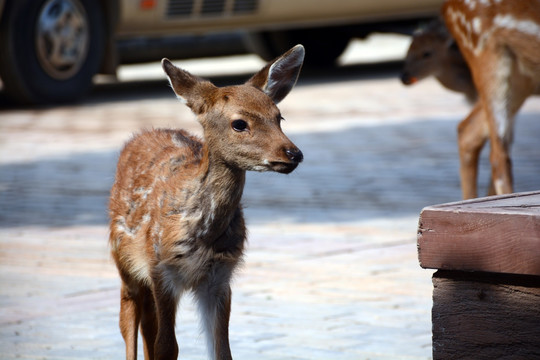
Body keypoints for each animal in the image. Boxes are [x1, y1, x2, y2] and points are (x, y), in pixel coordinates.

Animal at [107, 45, 306, 360]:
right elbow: (166, 346)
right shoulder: (161, 269)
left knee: (147, 322)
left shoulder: (220, 278)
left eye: (279, 117)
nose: (293, 153)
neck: (202, 236)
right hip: (123, 258)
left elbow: (222, 350)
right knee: (128, 317)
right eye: (239, 123)